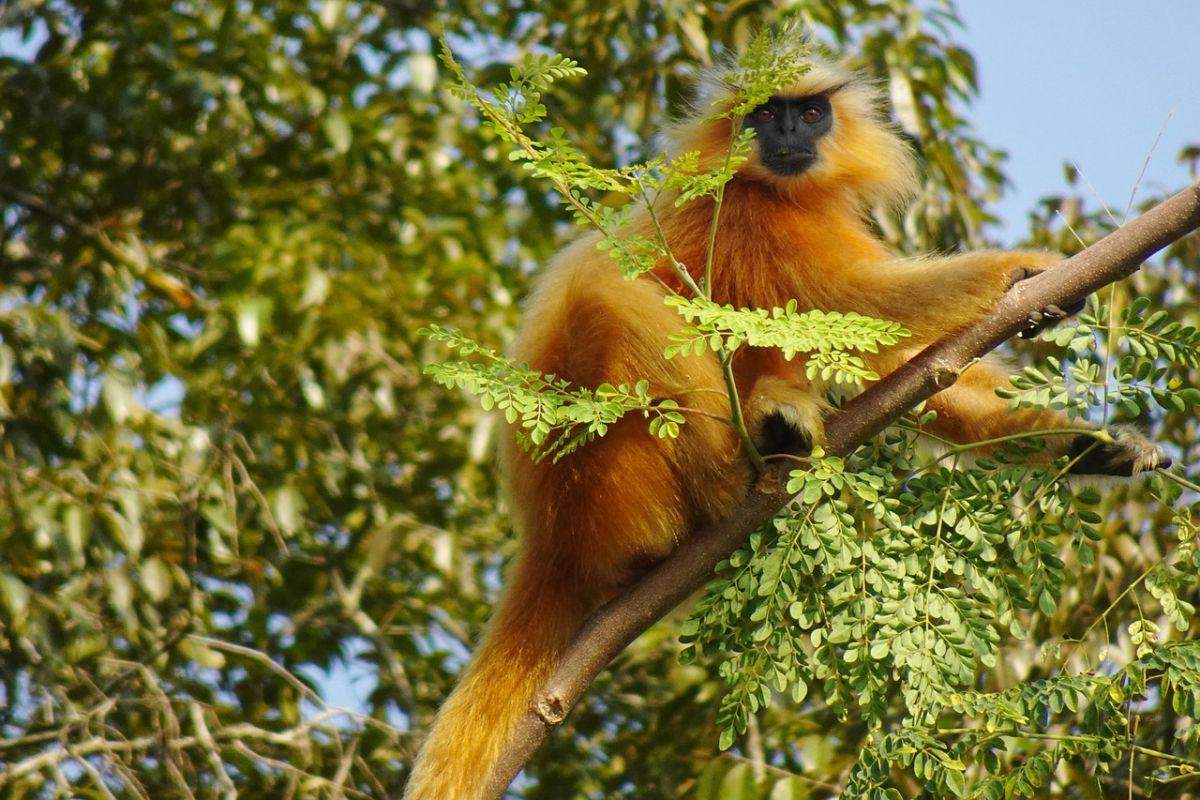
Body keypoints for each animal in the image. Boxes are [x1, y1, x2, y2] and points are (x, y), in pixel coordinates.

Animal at [400, 53, 1161, 796]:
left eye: (811, 111)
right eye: (765, 115)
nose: (790, 133)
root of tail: (549, 536)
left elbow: (913, 365)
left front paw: (1087, 448)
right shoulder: (746, 214)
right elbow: (851, 300)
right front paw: (1022, 272)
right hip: (603, 475)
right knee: (606, 290)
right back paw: (737, 473)